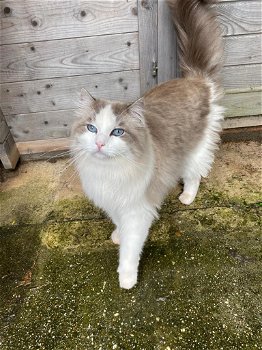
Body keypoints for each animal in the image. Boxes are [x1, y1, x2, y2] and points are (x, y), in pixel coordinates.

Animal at [70, 0, 224, 290]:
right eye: (92, 128)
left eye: (117, 132)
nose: (99, 143)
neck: (110, 173)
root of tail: (194, 79)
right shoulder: (114, 202)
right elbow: (119, 226)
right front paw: (117, 235)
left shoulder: (137, 211)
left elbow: (130, 249)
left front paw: (127, 278)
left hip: (194, 151)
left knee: (195, 175)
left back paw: (187, 197)